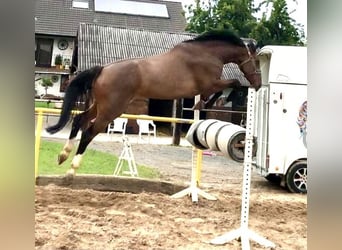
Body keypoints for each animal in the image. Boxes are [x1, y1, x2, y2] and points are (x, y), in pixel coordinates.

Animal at [46, 28, 260, 175]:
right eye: (257, 62)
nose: (258, 84)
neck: (207, 54)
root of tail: (103, 69)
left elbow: (226, 88)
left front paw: (203, 104)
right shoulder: (210, 84)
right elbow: (232, 85)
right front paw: (204, 104)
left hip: (100, 106)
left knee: (79, 120)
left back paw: (63, 155)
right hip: (111, 110)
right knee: (88, 132)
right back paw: (72, 168)